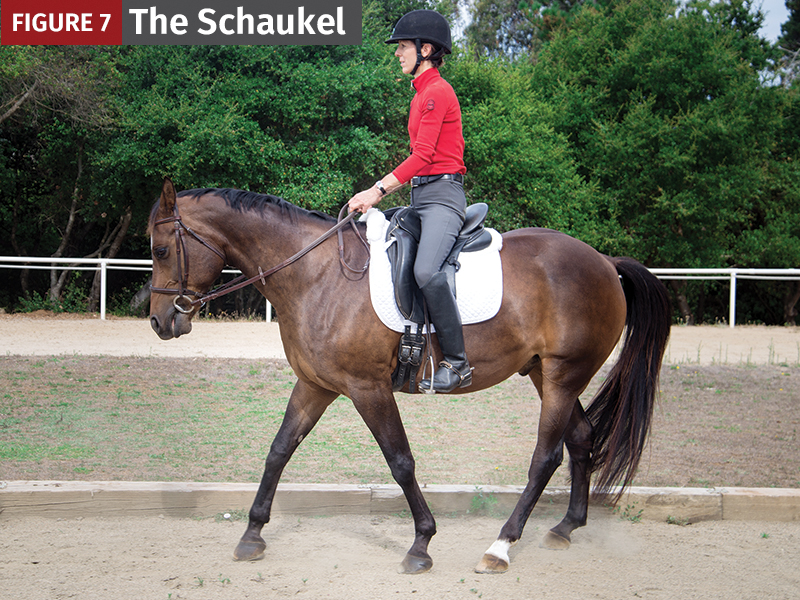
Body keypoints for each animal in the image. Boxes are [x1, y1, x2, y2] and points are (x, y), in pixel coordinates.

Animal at [148, 178, 671, 574]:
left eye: (160, 249)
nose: (159, 321)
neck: (316, 274)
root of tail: (604, 261)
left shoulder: (368, 389)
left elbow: (400, 461)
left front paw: (422, 543)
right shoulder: (316, 385)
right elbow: (278, 451)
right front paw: (252, 534)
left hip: (563, 376)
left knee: (546, 457)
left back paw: (500, 547)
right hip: (547, 374)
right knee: (581, 439)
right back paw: (565, 527)